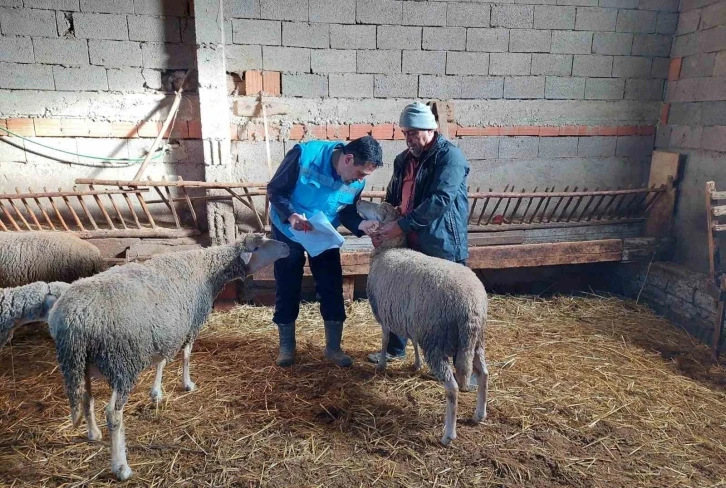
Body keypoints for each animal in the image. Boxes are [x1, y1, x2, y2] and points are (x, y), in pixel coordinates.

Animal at [47, 233, 292, 480]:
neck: (208, 268)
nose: (287, 246)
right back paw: (121, 466)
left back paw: (93, 433)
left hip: (80, 363)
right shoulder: (191, 324)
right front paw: (187, 384)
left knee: (85, 397)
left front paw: (156, 392)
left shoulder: (167, 329)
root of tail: (72, 322)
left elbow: (161, 361)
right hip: (122, 360)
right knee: (113, 414)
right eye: (259, 246)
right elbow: (186, 356)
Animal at [356, 198, 492, 446]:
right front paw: (417, 363)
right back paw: (479, 414)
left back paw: (448, 435)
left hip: (437, 340)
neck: (389, 249)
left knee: (452, 388)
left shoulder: (385, 312)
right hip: (475, 340)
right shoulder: (411, 316)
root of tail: (472, 306)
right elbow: (412, 340)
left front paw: (381, 364)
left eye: (379, 209)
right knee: (484, 374)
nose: (358, 200)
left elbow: (385, 339)